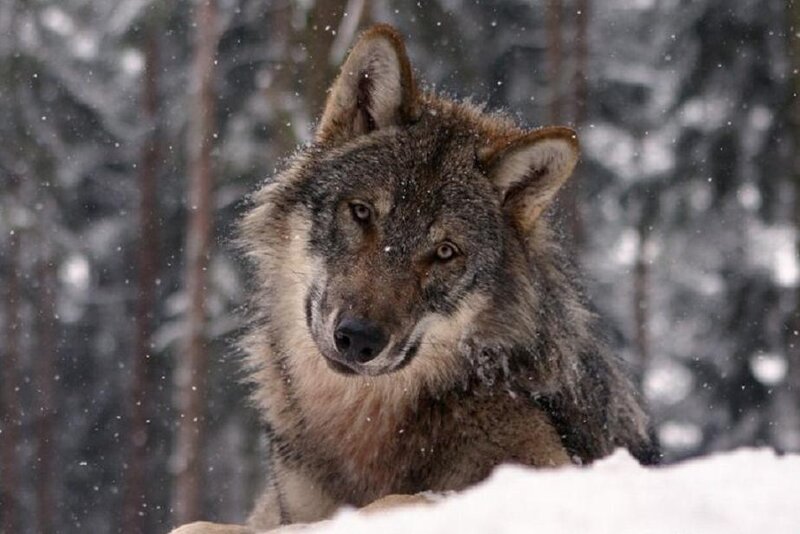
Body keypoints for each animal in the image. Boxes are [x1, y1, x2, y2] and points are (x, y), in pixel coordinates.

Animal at [173, 23, 658, 534]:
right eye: (361, 212)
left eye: (445, 252)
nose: (358, 339)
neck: (359, 427)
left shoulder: (543, 471)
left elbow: (392, 502)